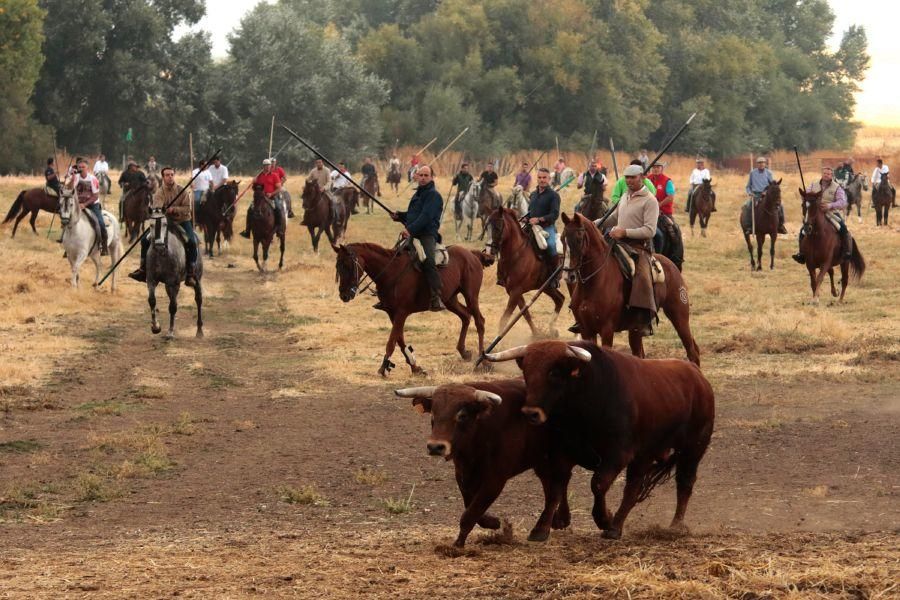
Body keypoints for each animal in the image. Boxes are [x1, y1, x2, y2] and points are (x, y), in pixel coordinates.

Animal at [145, 207, 203, 338]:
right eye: (151, 225)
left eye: (165, 224)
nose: (159, 246)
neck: (162, 255)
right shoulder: (151, 280)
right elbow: (152, 301)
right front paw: (155, 327)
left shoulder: (174, 283)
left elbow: (172, 306)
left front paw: (170, 332)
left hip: (197, 278)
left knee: (198, 299)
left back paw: (199, 331)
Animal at [332, 240, 486, 376]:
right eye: (338, 267)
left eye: (347, 265)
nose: (344, 295)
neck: (391, 271)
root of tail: (471, 254)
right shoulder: (392, 313)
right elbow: (400, 340)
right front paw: (415, 367)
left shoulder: (401, 313)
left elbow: (392, 341)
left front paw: (384, 367)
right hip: (450, 300)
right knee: (465, 316)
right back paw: (464, 352)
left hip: (471, 296)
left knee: (479, 322)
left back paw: (483, 359)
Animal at [398, 382, 572, 548]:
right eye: (433, 414)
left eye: (462, 415)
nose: (435, 447)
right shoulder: (463, 475)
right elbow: (471, 507)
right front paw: (492, 522)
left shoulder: (495, 480)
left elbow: (470, 514)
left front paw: (458, 545)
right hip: (541, 461)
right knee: (552, 485)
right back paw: (560, 520)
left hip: (558, 459)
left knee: (557, 488)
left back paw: (542, 529)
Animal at [488, 340, 712, 540]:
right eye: (526, 371)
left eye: (554, 372)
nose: (530, 413)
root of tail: (698, 377)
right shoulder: (563, 453)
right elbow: (555, 488)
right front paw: (543, 527)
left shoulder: (618, 454)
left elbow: (597, 484)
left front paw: (604, 519)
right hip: (645, 455)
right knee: (634, 486)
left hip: (693, 450)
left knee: (683, 483)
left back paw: (671, 525)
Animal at [560, 214, 700, 366]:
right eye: (562, 239)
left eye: (579, 239)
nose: (568, 275)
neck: (593, 284)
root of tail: (672, 265)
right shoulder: (586, 330)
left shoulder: (607, 330)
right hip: (636, 329)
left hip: (679, 316)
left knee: (692, 350)